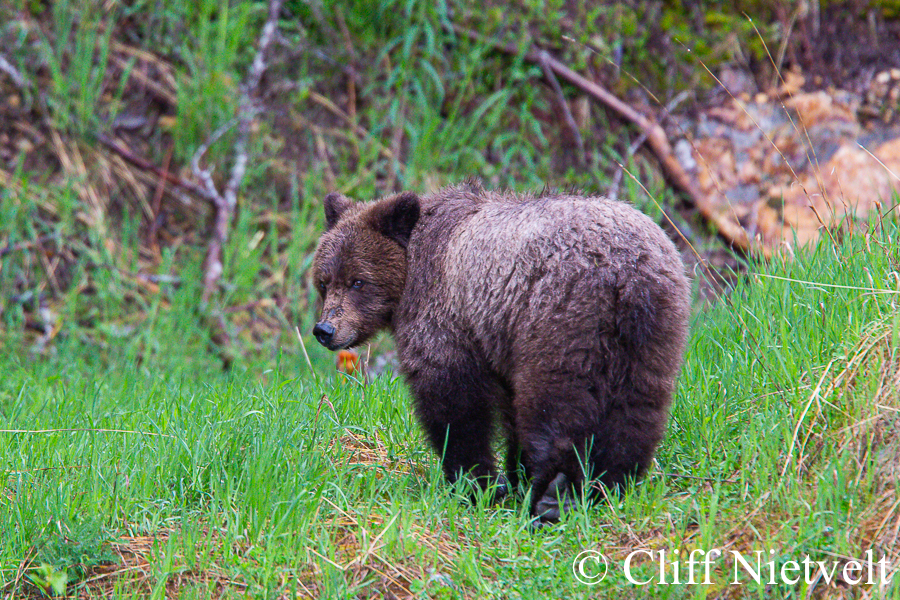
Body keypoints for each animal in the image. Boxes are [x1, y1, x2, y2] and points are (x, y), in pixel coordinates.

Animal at [311, 180, 691, 523]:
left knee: (555, 404)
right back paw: (607, 485)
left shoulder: (446, 315)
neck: (410, 273)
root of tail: (625, 274)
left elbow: (453, 403)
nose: (325, 330)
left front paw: (476, 483)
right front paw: (513, 473)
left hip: (560, 319)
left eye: (358, 281)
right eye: (324, 282)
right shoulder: (497, 336)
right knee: (637, 410)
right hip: (652, 333)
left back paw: (552, 496)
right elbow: (507, 408)